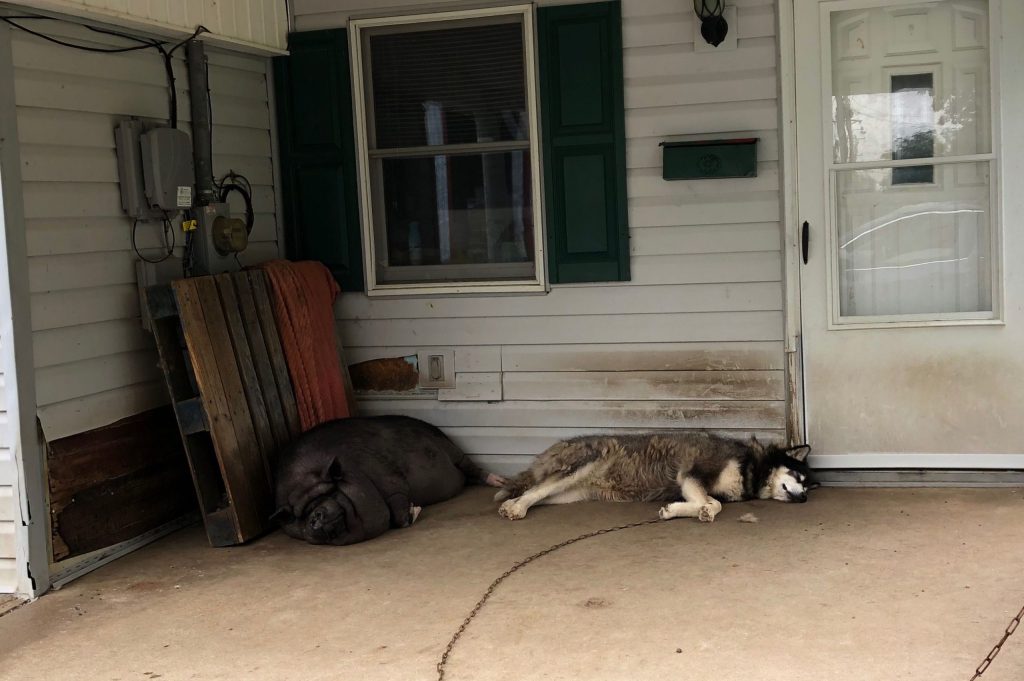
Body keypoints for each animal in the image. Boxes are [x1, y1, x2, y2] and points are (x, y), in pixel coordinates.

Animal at [272, 411, 503, 544]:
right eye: (298, 515)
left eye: (330, 493)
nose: (315, 518)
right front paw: (416, 508)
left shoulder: (390, 480)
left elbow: (399, 510)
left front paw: (415, 509)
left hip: (451, 449)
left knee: (471, 467)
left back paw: (498, 481)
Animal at [495, 432, 815, 522]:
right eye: (798, 476)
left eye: (807, 487)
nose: (804, 499)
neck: (751, 465)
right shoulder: (691, 475)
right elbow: (713, 504)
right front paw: (696, 510)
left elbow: (711, 502)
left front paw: (676, 510)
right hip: (580, 466)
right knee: (534, 490)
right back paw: (516, 508)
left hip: (568, 494)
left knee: (536, 492)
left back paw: (513, 502)